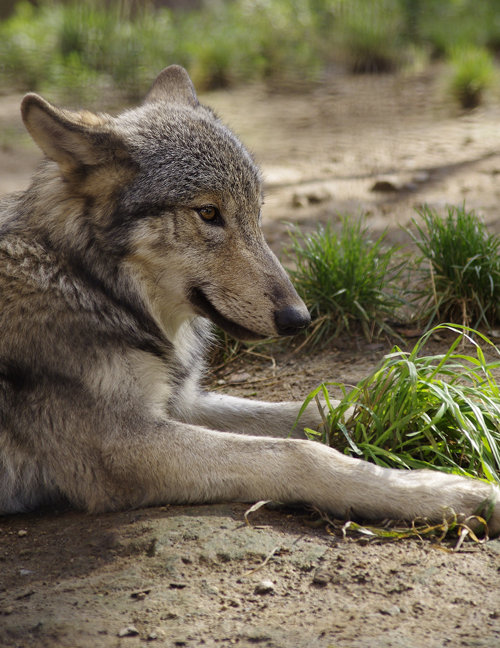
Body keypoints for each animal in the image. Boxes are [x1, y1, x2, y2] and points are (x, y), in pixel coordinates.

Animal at [0, 64, 498, 536]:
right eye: (208, 213)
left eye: (257, 212)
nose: (299, 318)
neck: (89, 284)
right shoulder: (124, 445)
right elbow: (302, 453)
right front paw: (449, 492)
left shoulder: (181, 402)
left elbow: (322, 410)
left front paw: (442, 415)